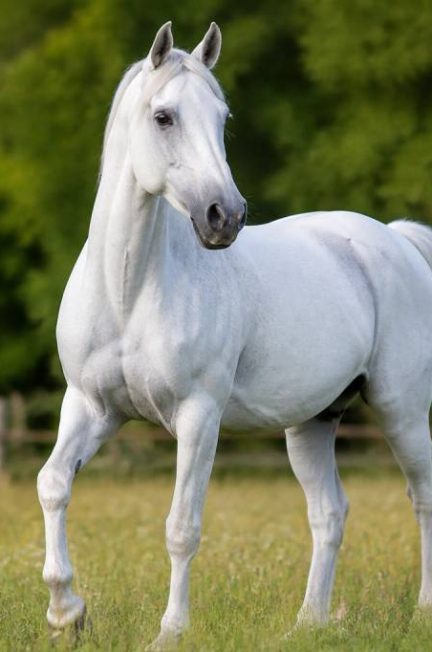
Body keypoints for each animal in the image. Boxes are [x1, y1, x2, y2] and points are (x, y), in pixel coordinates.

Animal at [37, 21, 432, 648]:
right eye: (164, 116)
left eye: (223, 117)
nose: (224, 217)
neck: (130, 293)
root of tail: (396, 239)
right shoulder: (91, 407)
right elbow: (53, 484)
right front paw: (66, 613)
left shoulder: (199, 417)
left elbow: (182, 526)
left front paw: (170, 631)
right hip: (312, 424)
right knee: (329, 513)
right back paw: (308, 623)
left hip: (402, 410)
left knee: (421, 499)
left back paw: (422, 612)